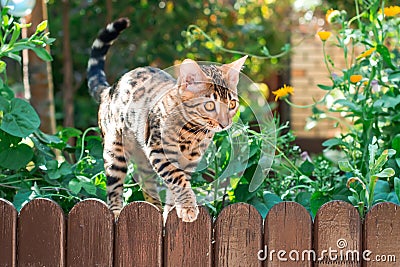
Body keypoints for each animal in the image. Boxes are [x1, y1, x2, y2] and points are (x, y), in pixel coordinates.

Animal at [86, 16, 247, 222]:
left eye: (232, 104)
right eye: (210, 105)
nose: (225, 124)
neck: (192, 133)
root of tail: (110, 89)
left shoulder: (189, 160)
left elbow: (177, 183)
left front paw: (172, 210)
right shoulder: (158, 150)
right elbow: (176, 178)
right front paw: (187, 206)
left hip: (143, 158)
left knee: (146, 182)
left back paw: (154, 206)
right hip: (115, 150)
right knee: (114, 185)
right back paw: (115, 212)